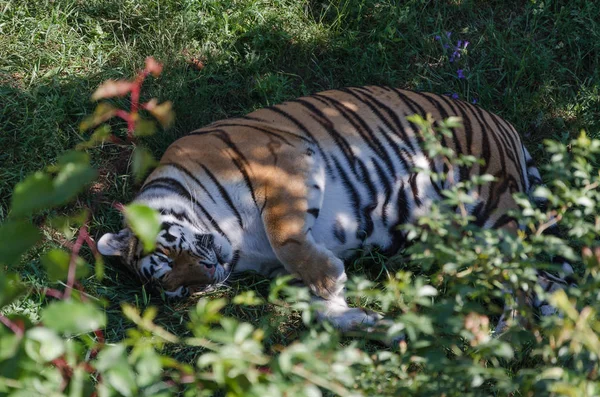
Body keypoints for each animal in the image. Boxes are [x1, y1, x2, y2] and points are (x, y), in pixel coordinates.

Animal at [97, 86, 572, 332]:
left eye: (168, 249)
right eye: (178, 290)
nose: (210, 274)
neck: (238, 246)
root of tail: (500, 122)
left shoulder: (285, 160)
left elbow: (285, 235)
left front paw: (330, 280)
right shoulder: (277, 271)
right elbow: (319, 312)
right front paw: (372, 321)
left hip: (491, 205)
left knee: (522, 279)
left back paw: (503, 337)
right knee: (543, 280)